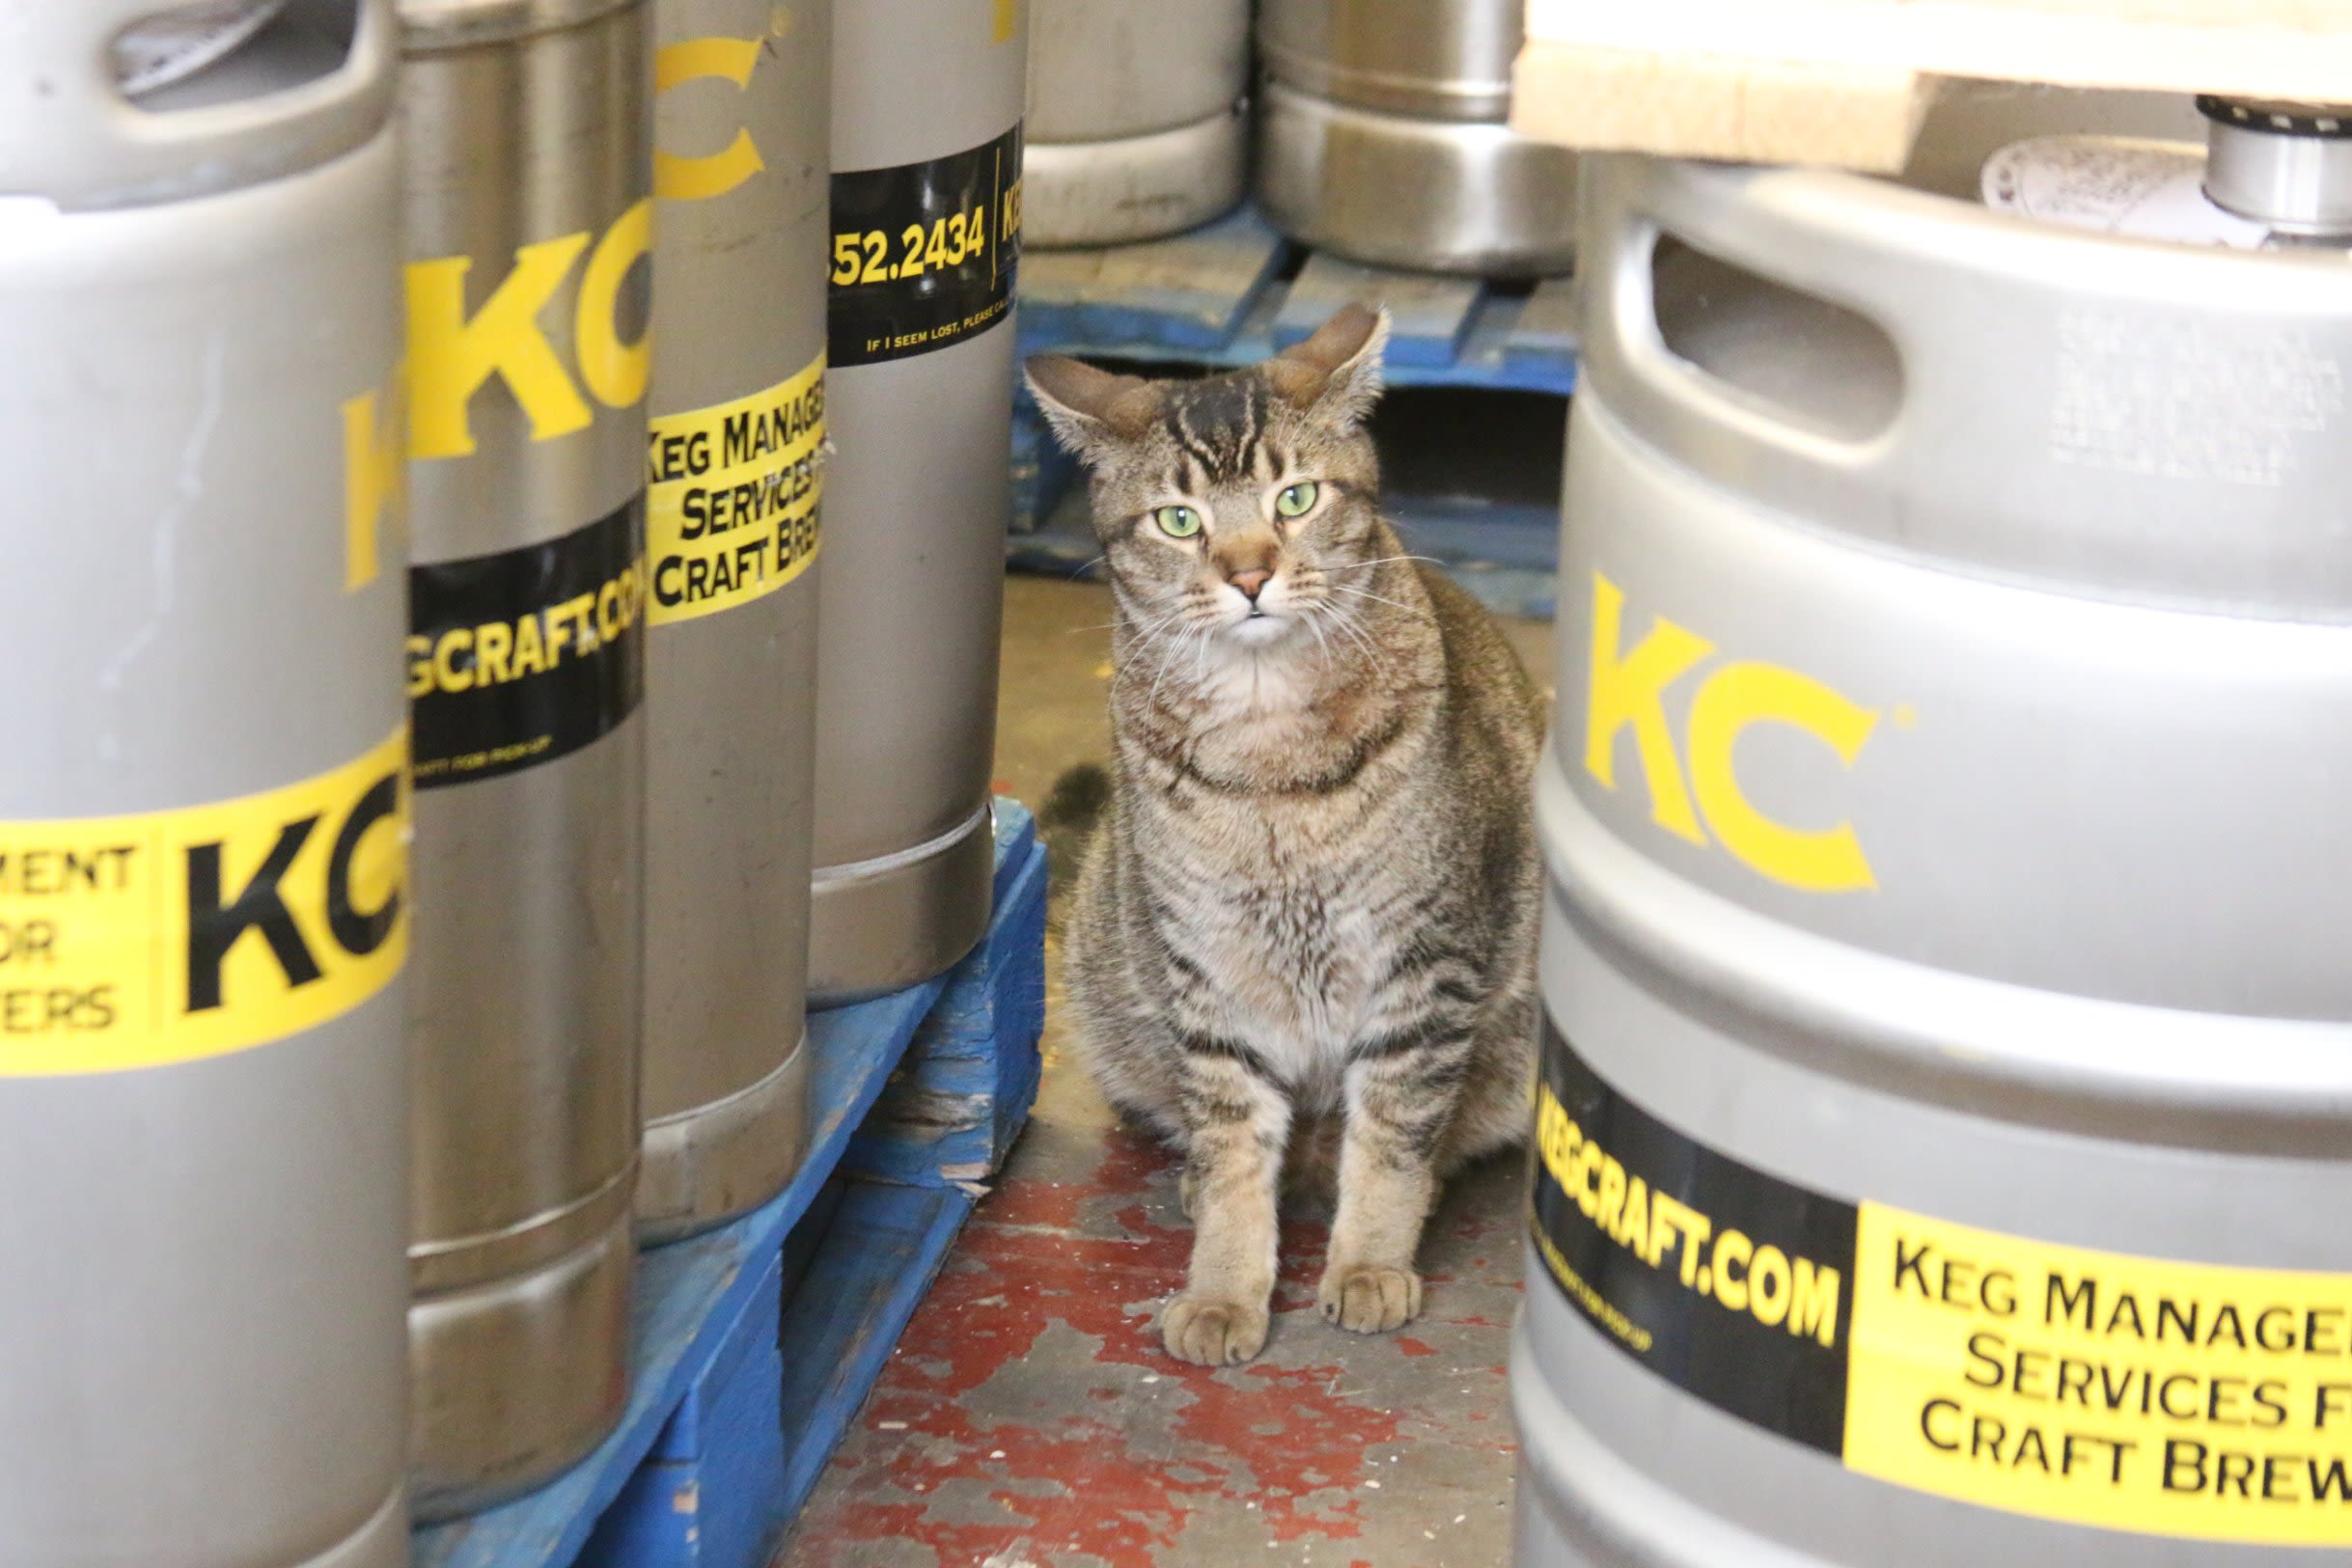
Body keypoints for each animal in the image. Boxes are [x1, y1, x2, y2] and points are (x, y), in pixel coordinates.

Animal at [1025, 303, 1542, 1363]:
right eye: (1178, 520)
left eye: (1294, 497)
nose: (1251, 572)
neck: (1267, 746)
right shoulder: (1208, 975)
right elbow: (1233, 1149)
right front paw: (1224, 1285)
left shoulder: (1423, 966)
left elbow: (1391, 1137)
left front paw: (1369, 1260)